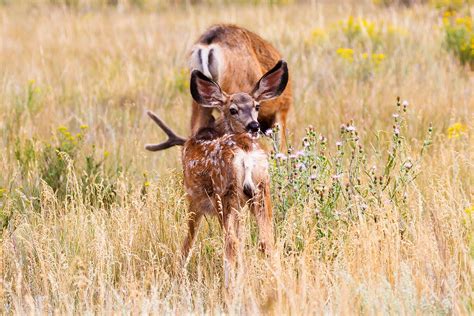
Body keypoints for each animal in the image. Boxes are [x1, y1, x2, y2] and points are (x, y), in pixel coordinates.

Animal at [146, 60, 288, 282]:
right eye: (233, 109)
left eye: (256, 107)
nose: (254, 126)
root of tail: (246, 154)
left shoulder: (194, 199)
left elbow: (189, 240)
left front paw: (178, 271)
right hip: (261, 189)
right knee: (266, 240)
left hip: (224, 192)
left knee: (231, 242)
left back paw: (231, 285)